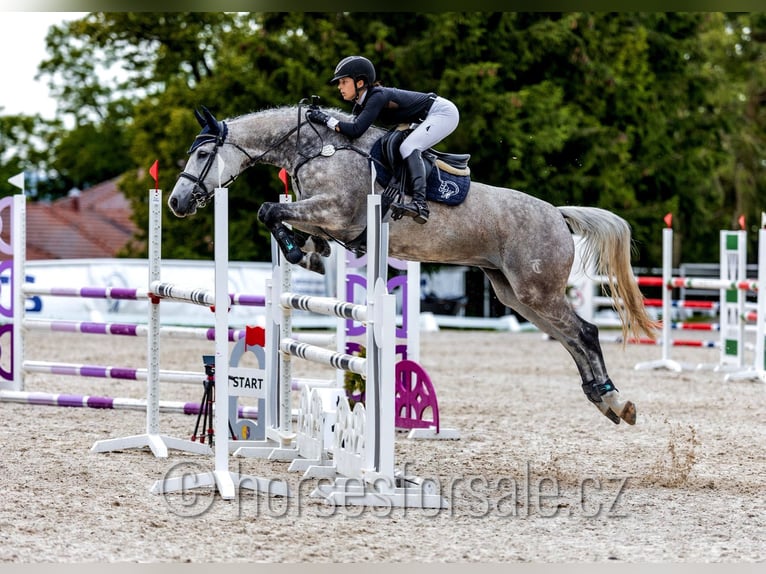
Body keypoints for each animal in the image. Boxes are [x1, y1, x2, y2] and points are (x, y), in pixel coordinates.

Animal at [168, 103, 658, 426]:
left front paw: (296, 251)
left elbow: (269, 209)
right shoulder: (326, 218)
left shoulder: (335, 212)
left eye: (202, 155)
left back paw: (616, 401)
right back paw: (604, 400)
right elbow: (285, 221)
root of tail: (558, 213)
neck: (317, 148)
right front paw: (307, 253)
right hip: (514, 294)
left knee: (585, 332)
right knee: (570, 338)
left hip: (537, 290)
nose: (176, 202)